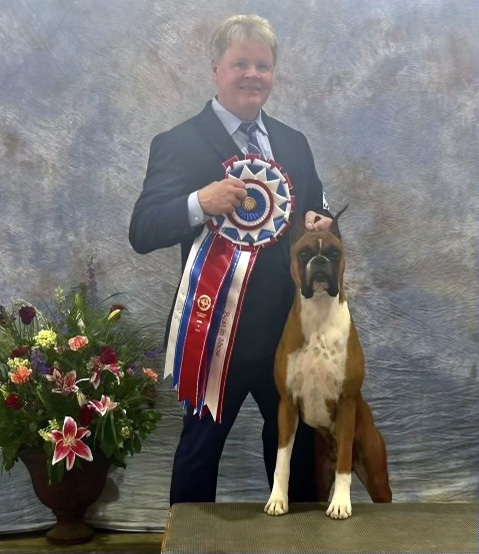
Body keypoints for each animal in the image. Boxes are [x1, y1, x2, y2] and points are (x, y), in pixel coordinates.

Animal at [265, 206, 392, 519]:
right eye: (303, 253)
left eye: (334, 253)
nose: (319, 261)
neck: (320, 316)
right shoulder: (286, 405)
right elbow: (282, 460)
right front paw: (278, 500)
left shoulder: (345, 402)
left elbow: (344, 465)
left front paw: (341, 504)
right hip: (320, 478)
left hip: (377, 477)